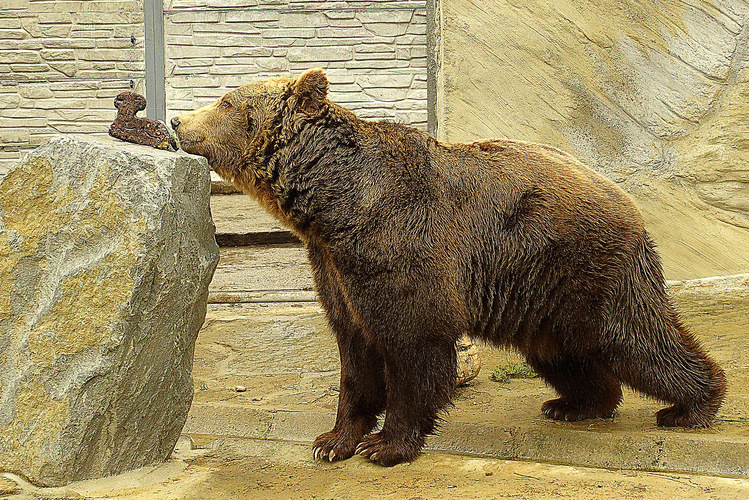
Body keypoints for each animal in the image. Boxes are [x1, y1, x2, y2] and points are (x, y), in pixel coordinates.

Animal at [171, 68, 724, 466]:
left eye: (226, 101)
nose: (177, 122)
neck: (333, 204)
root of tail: (627, 201)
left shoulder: (398, 249)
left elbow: (411, 346)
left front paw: (386, 445)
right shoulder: (334, 265)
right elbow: (354, 351)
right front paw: (332, 439)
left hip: (586, 265)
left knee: (637, 338)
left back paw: (692, 405)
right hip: (543, 294)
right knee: (563, 353)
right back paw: (574, 404)